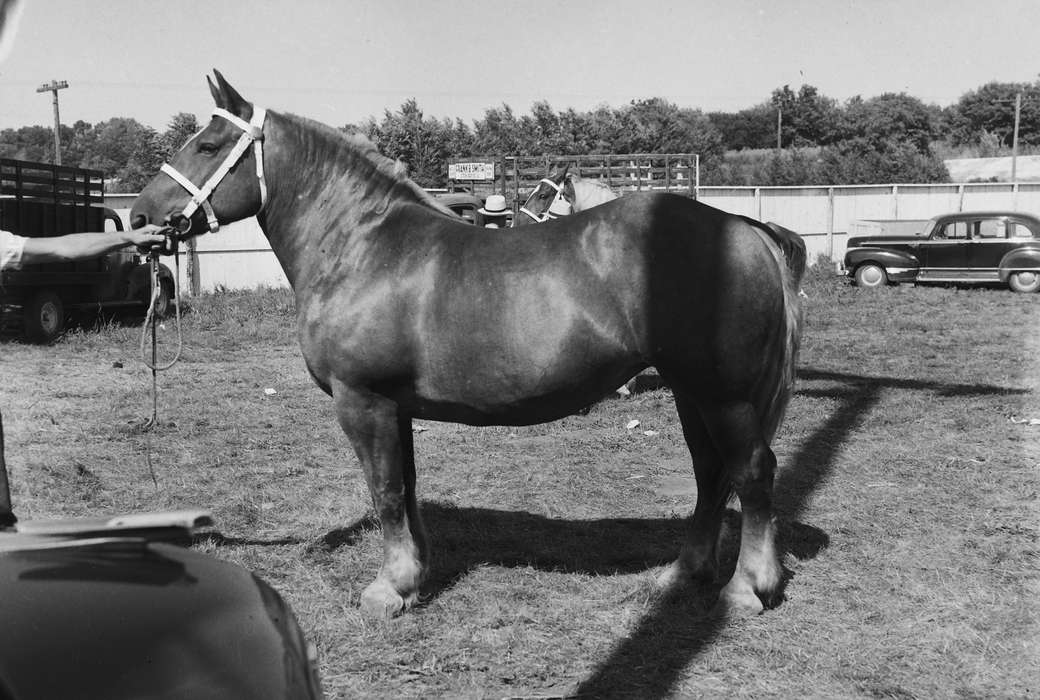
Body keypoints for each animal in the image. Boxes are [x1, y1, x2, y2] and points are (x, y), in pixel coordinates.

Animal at [131, 71, 808, 619]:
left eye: (208, 145)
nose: (139, 218)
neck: (361, 247)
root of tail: (745, 228)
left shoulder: (362, 401)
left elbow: (384, 492)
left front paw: (387, 590)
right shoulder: (394, 407)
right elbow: (404, 486)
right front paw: (413, 577)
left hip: (724, 396)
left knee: (752, 473)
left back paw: (746, 589)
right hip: (693, 393)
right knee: (711, 475)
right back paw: (682, 575)